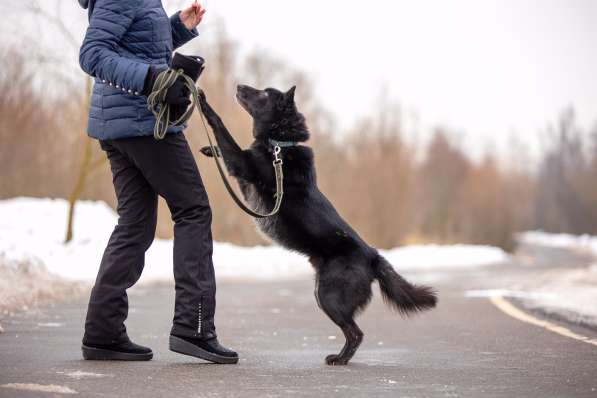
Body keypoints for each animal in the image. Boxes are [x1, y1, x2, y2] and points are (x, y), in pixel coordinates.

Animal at [198, 85, 436, 366]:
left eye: (264, 94)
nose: (239, 86)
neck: (280, 146)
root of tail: (373, 256)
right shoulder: (245, 181)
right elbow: (226, 148)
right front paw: (210, 149)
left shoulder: (245, 167)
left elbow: (224, 132)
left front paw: (203, 102)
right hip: (321, 294)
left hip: (329, 296)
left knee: (356, 333)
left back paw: (339, 359)